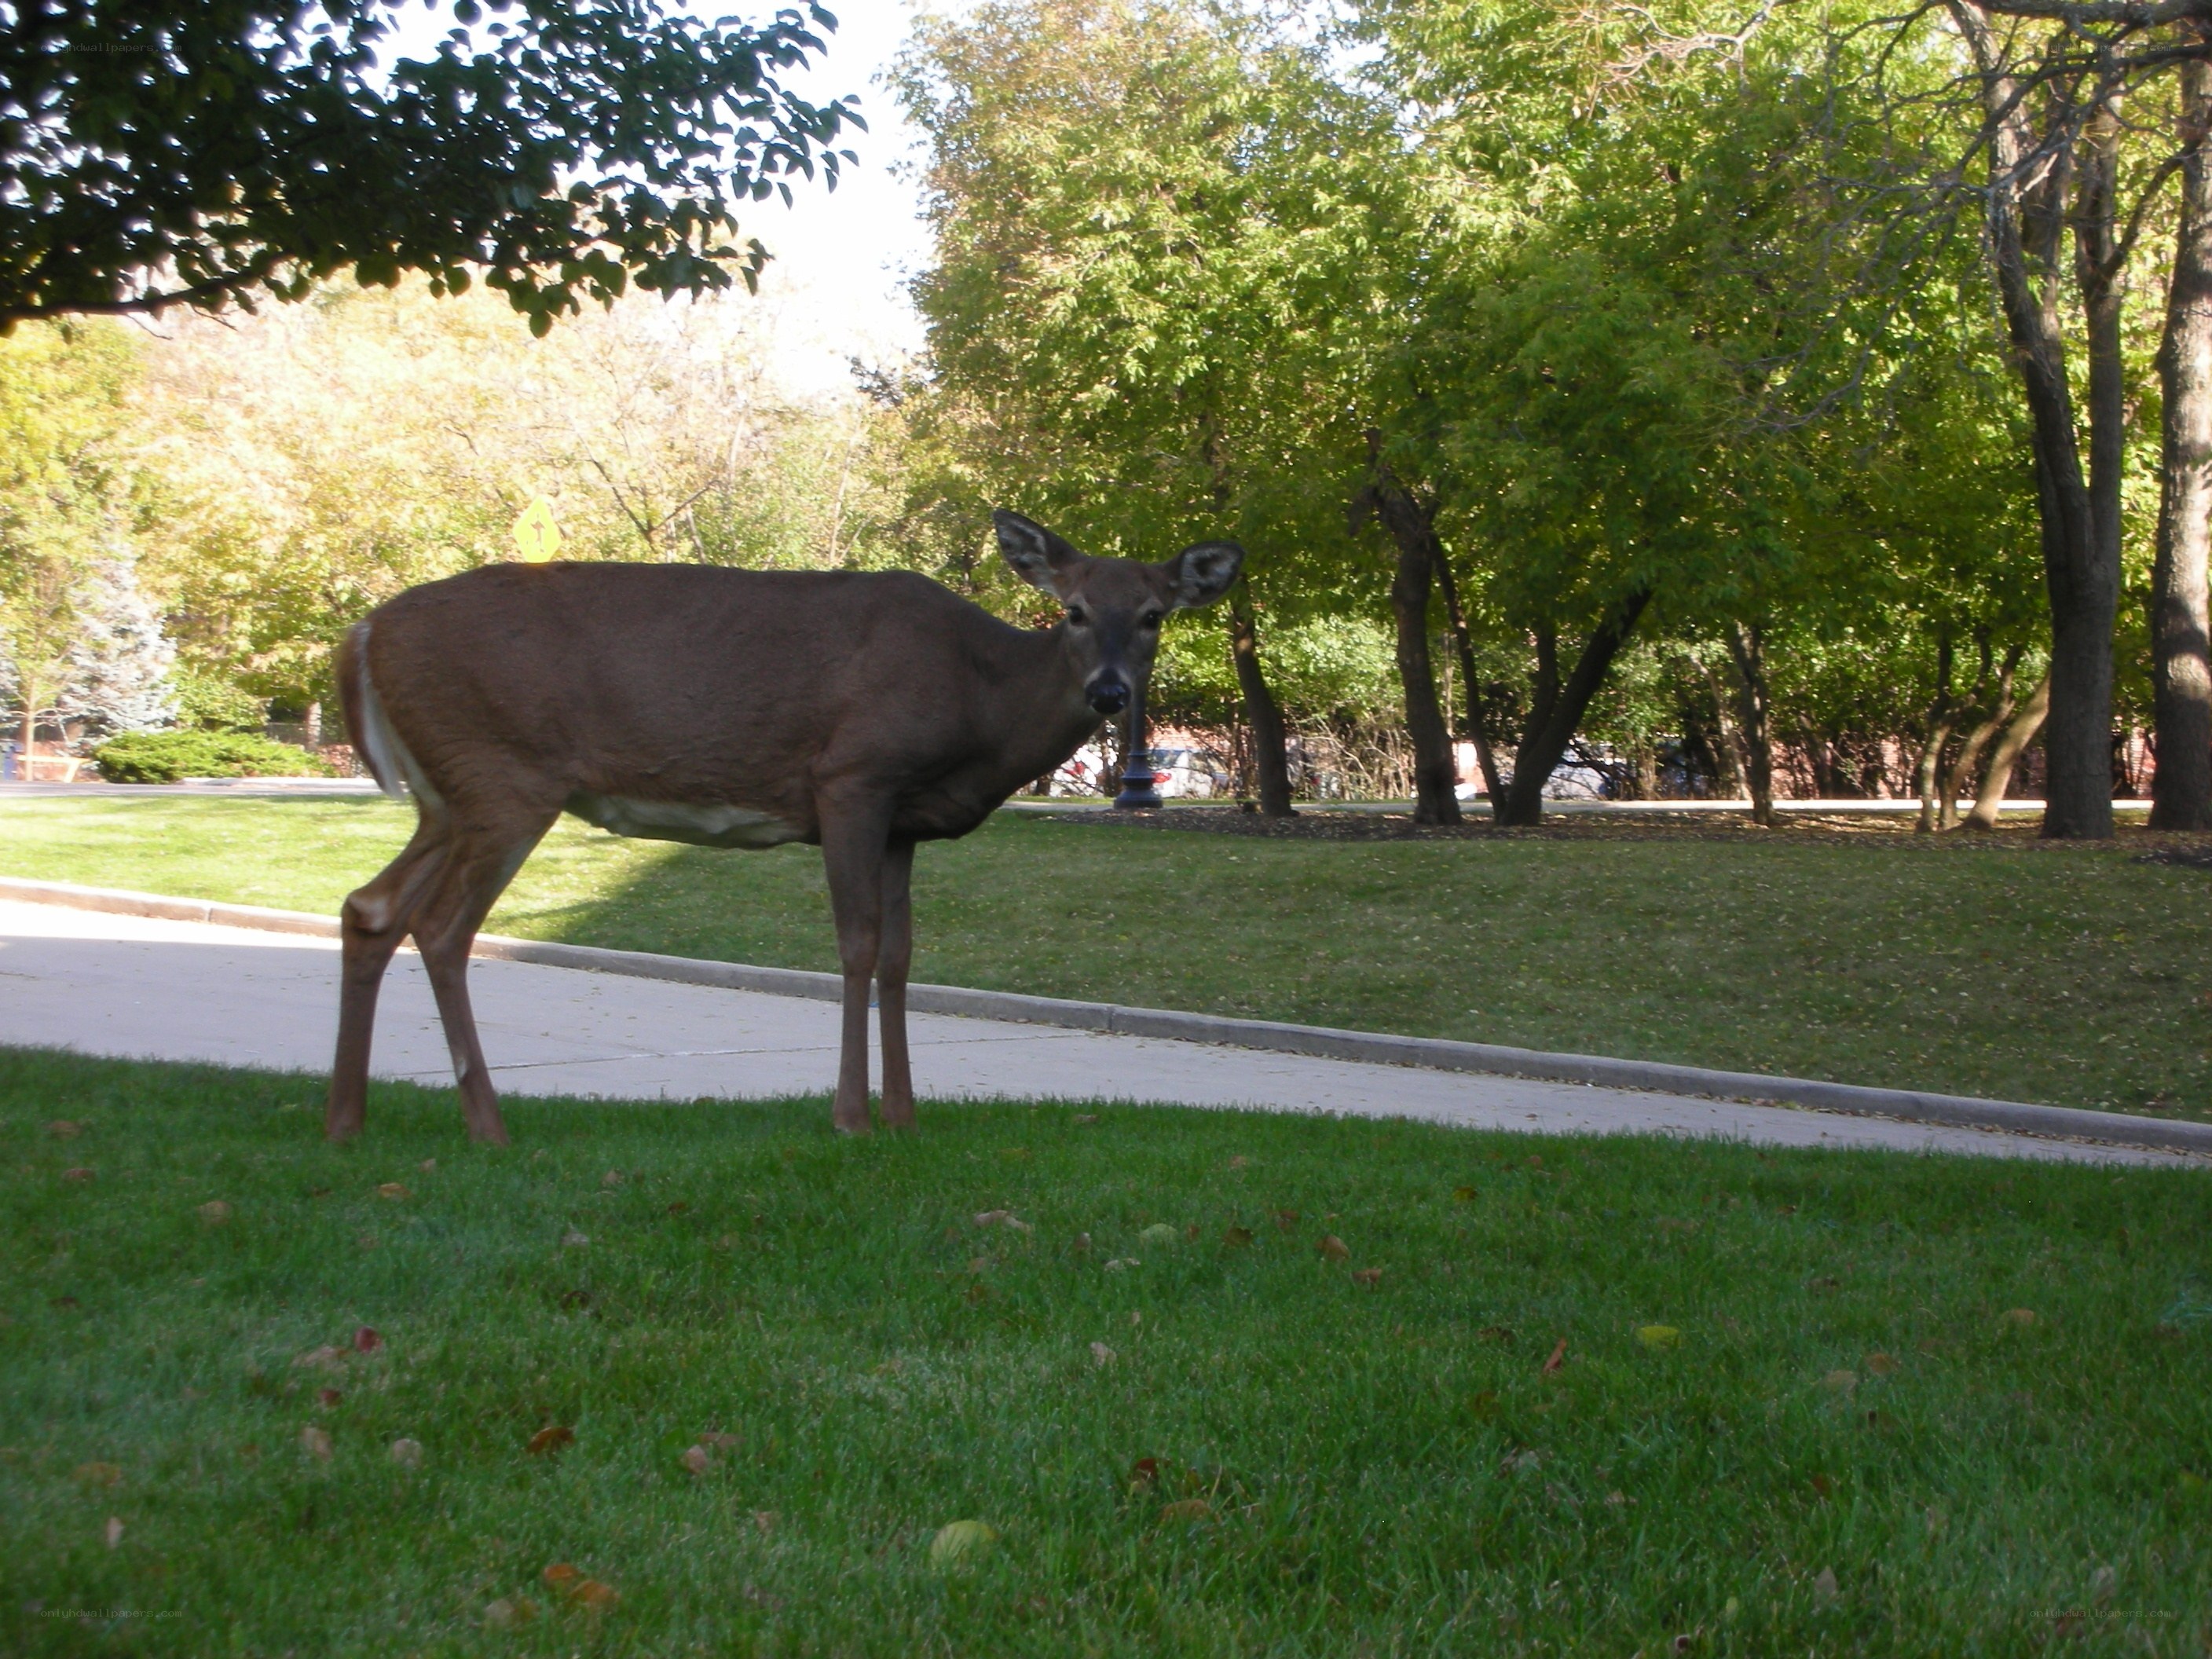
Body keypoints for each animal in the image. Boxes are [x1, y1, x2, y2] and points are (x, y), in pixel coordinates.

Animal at [325, 510, 1243, 1144]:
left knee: (370, 907)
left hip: (447, 794)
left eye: (1155, 614)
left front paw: (905, 1117)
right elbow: (856, 946)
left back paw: (347, 1120)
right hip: (502, 773)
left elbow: (900, 958)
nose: (1109, 692)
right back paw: (487, 1126)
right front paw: (849, 1117)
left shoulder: (903, 823)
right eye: (1075, 610)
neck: (980, 699)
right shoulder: (850, 778)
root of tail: (360, 633)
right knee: (441, 927)